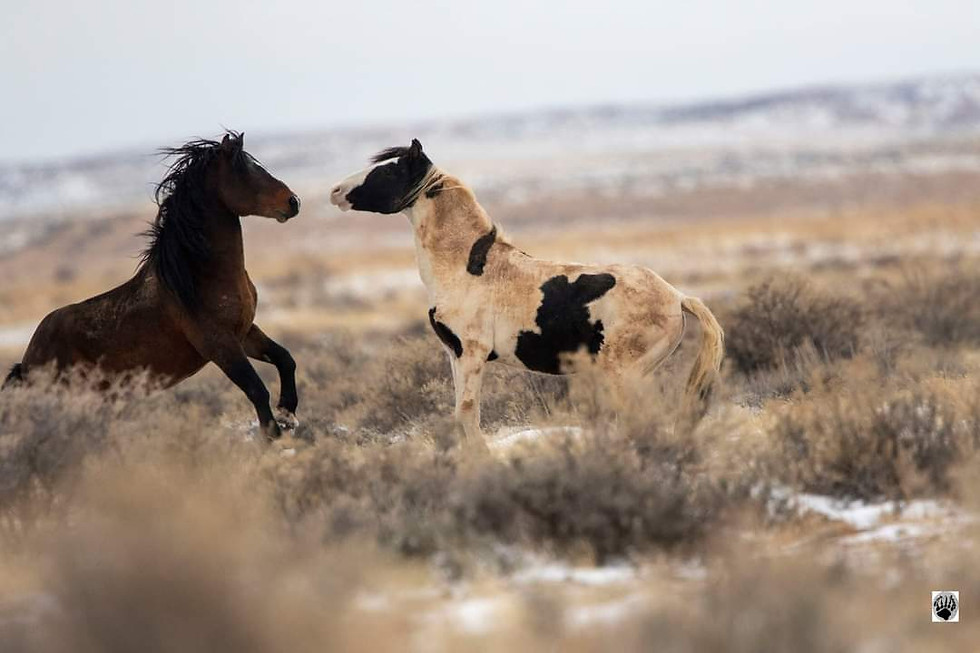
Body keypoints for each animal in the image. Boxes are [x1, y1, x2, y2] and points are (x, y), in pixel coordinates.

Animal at [2, 131, 302, 440]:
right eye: (245, 170)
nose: (293, 202)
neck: (198, 277)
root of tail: (27, 362)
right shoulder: (219, 344)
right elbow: (256, 389)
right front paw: (274, 435)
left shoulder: (244, 332)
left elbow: (285, 358)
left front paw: (288, 415)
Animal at [328, 139, 725, 450]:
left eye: (388, 172)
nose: (334, 193)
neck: (468, 267)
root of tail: (677, 297)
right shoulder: (454, 354)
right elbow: (460, 416)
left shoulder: (472, 354)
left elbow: (468, 415)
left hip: (624, 375)